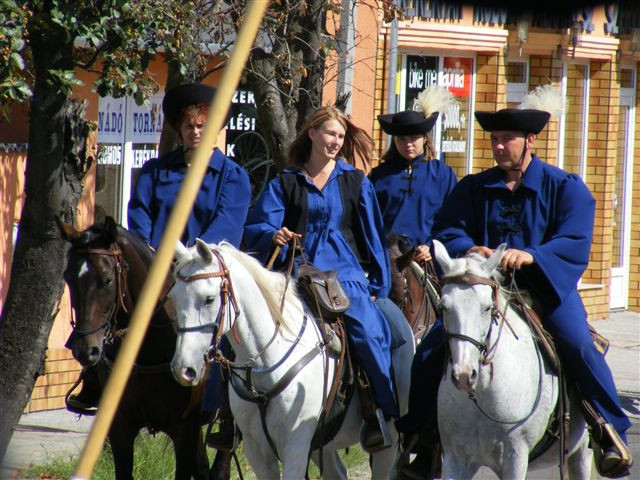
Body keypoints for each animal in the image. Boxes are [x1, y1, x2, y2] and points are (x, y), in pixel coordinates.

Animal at [168, 240, 412, 480]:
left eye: (209, 299)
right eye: (174, 298)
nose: (183, 369)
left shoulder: (296, 445)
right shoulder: (257, 450)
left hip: (388, 442)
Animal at [432, 240, 592, 480]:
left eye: (487, 307)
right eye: (443, 307)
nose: (464, 375)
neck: (483, 395)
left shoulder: (515, 459)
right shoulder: (455, 459)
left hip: (581, 451)